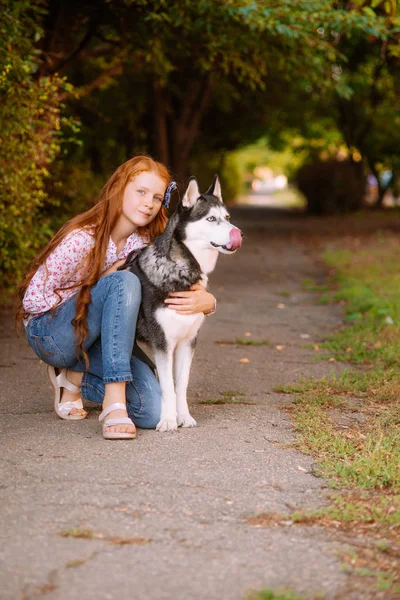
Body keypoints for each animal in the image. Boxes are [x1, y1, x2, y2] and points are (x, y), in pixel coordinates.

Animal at [121, 175, 241, 432]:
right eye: (211, 218)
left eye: (227, 218)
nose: (239, 233)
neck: (179, 269)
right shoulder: (162, 343)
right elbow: (167, 386)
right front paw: (167, 419)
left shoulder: (187, 342)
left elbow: (181, 384)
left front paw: (183, 416)